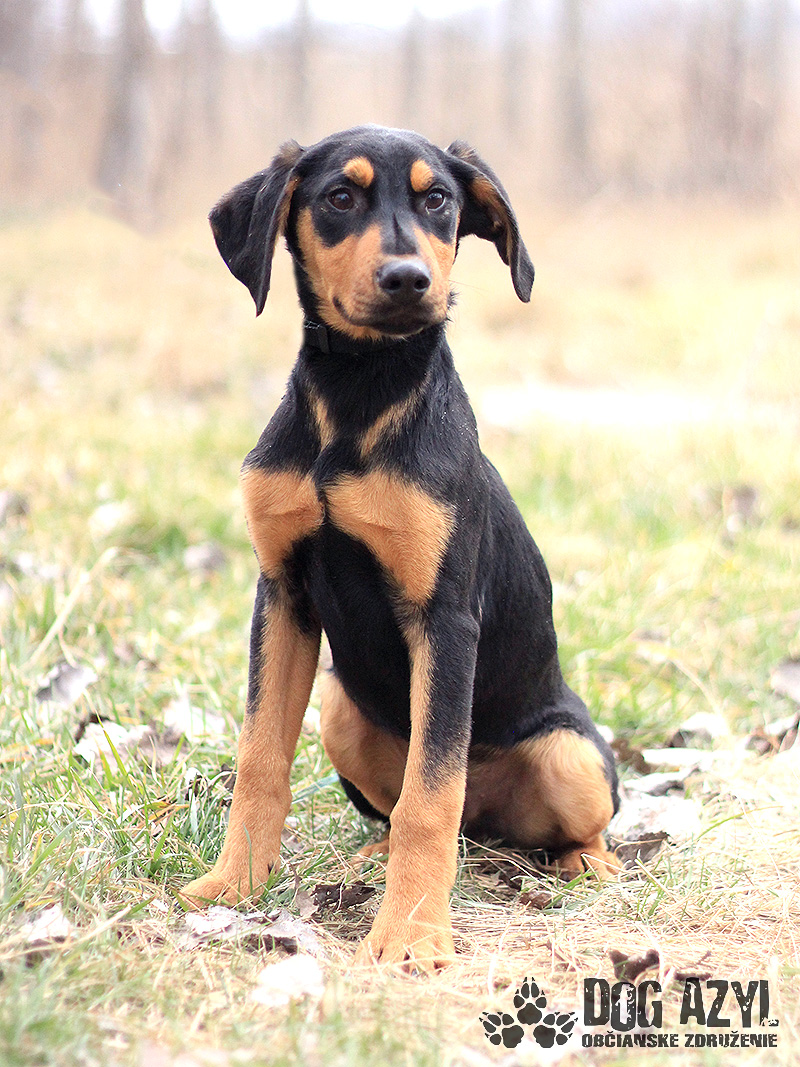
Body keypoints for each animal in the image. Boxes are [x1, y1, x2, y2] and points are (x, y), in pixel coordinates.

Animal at [180, 125, 619, 970]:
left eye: (438, 199)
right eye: (339, 197)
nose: (409, 279)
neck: (360, 393)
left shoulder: (444, 618)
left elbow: (431, 794)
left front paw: (412, 934)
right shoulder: (281, 593)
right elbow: (259, 757)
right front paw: (232, 885)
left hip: (569, 752)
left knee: (551, 819)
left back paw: (589, 863)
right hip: (343, 710)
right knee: (408, 811)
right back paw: (375, 858)